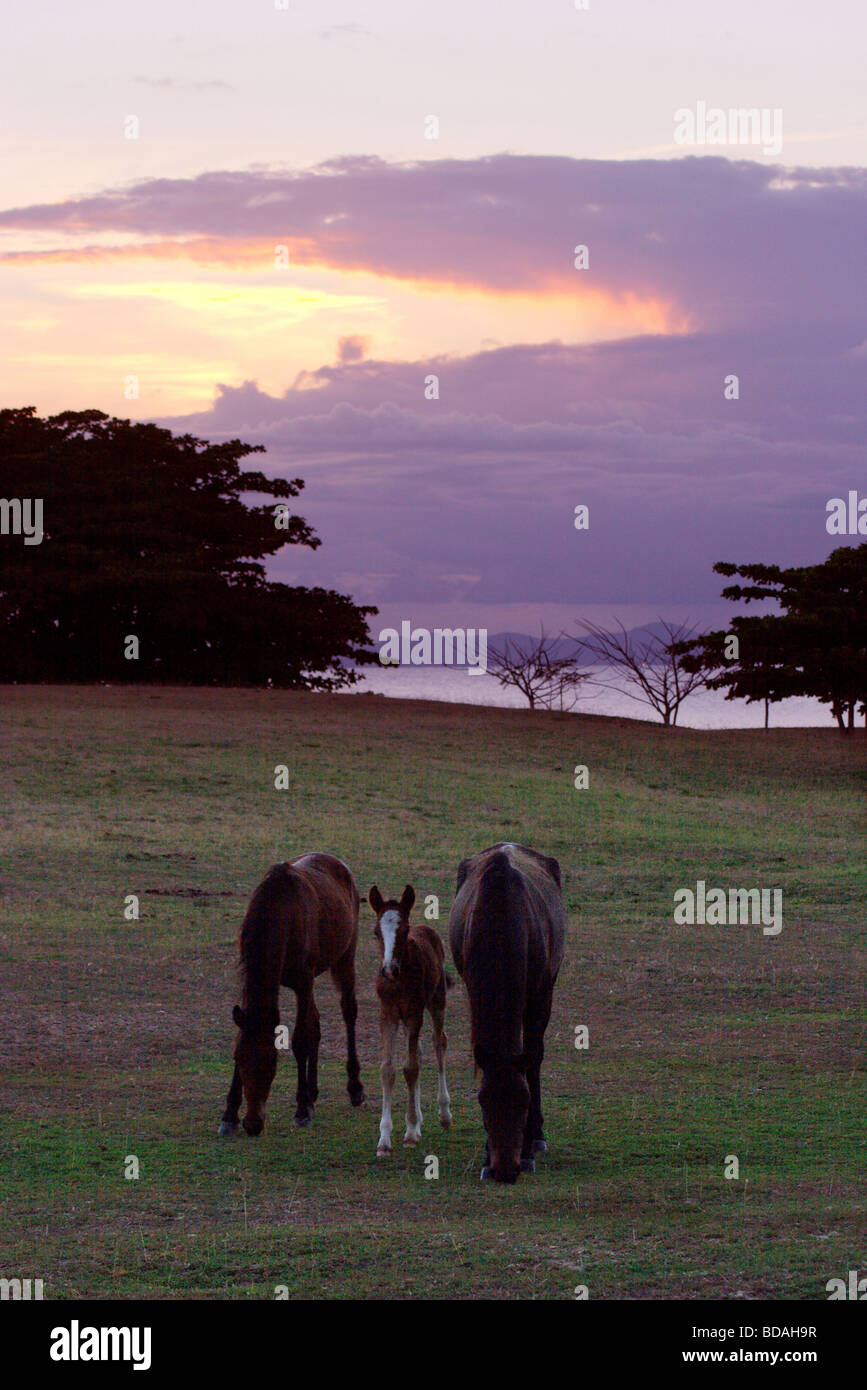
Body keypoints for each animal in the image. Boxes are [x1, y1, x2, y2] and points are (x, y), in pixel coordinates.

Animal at [219, 850, 366, 1134]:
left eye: (272, 1064)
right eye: (240, 1061)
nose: (252, 1123)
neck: (279, 912)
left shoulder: (303, 980)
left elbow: (300, 1040)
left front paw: (301, 1110)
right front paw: (229, 1114)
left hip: (345, 957)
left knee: (349, 1011)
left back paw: (354, 1088)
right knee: (316, 1022)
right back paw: (313, 1092)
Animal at [366, 884, 452, 1156]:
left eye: (404, 931)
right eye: (376, 932)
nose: (388, 970)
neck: (399, 981)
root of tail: (427, 928)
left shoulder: (414, 1014)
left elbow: (410, 1068)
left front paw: (411, 1131)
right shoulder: (388, 1016)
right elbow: (388, 1069)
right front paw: (384, 1139)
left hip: (436, 1000)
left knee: (438, 1043)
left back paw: (444, 1114)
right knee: (421, 1052)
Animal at [450, 839, 566, 1178]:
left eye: (523, 1102)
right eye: (483, 1102)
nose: (503, 1170)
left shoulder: (538, 993)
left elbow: (532, 1058)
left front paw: (529, 1145)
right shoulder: (473, 991)